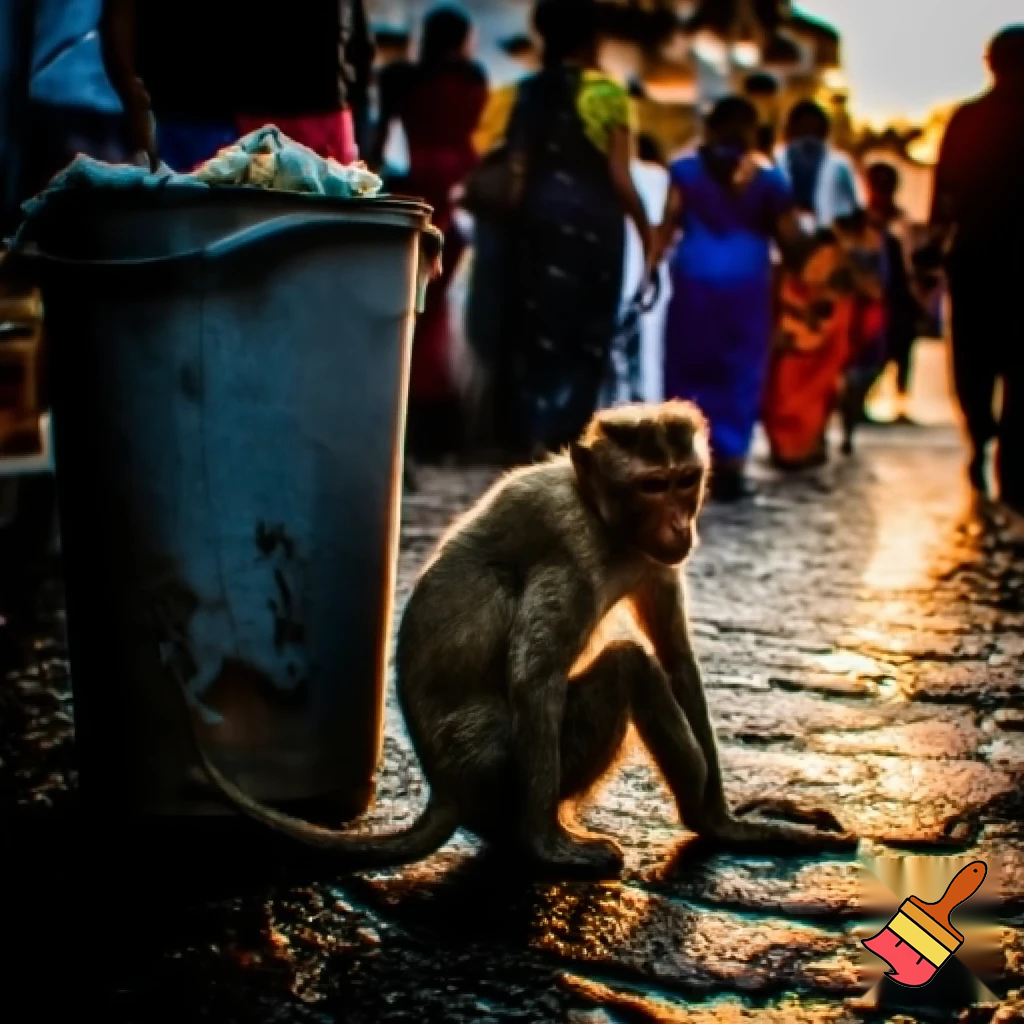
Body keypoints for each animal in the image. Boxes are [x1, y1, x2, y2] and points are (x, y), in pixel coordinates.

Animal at [182, 400, 855, 877]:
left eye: (685, 480)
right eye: (651, 486)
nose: (677, 525)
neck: (602, 514)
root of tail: (447, 790)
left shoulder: (655, 560)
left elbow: (679, 661)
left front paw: (730, 817)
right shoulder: (570, 547)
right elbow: (537, 675)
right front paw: (547, 848)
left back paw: (711, 822)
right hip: (500, 775)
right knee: (625, 669)